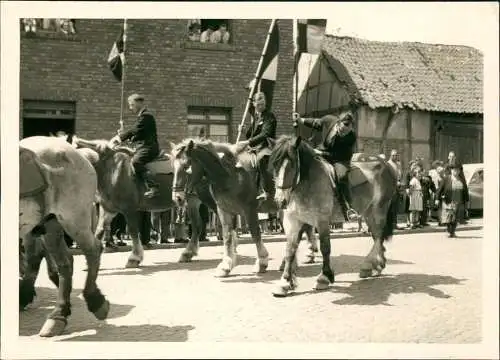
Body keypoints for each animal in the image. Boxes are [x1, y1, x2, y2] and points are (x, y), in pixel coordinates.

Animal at [20, 136, 109, 336]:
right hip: (48, 225)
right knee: (62, 262)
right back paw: (57, 314)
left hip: (74, 220)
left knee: (93, 250)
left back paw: (94, 302)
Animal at [169, 139, 316, 278]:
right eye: (173, 167)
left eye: (186, 166)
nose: (177, 198)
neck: (229, 174)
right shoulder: (223, 209)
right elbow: (227, 234)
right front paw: (226, 265)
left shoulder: (249, 210)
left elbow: (255, 233)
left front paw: (261, 261)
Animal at [270, 135, 398, 296]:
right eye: (274, 164)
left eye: (292, 165)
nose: (280, 201)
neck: (307, 183)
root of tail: (387, 164)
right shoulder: (293, 221)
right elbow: (290, 250)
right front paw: (285, 282)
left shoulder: (322, 221)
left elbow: (325, 248)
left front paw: (324, 277)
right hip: (369, 213)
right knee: (376, 236)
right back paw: (377, 266)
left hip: (379, 209)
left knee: (379, 236)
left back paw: (368, 265)